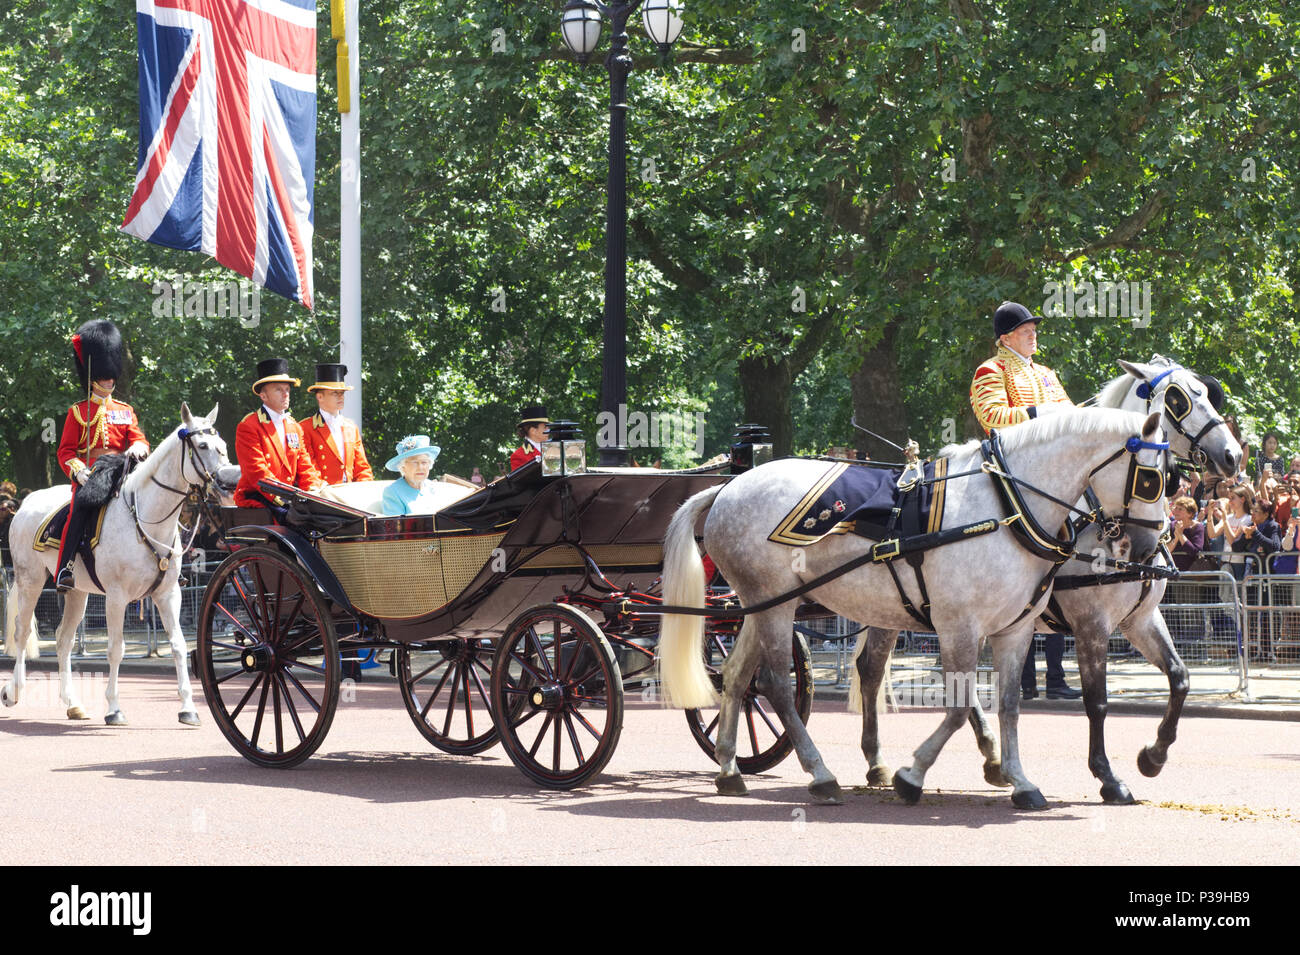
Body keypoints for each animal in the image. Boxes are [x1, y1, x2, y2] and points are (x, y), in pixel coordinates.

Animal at [3, 402, 231, 722]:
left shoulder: (168, 594)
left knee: (63, 639)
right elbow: (115, 649)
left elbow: (177, 645)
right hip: (30, 581)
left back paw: (72, 703)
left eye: (223, 446)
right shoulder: (116, 597)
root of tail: (26, 504)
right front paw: (113, 708)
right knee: (22, 632)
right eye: (202, 445)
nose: (227, 484)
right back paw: (14, 691)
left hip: (77, 591)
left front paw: (187, 708)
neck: (147, 519)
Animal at [660, 407, 1170, 810]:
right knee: (775, 686)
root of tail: (728, 488)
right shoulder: (971, 625)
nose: (1146, 550)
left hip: (764, 604)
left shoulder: (1015, 629)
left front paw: (1021, 781)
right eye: (1151, 479)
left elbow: (1008, 704)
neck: (1009, 509)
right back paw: (821, 775)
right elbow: (964, 704)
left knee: (739, 676)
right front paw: (914, 776)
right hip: (775, 606)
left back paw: (730, 769)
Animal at [852, 358, 1237, 805]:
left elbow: (1179, 678)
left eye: (1206, 392)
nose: (1232, 455)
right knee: (872, 669)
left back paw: (991, 758)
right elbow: (1097, 701)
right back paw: (878, 760)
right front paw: (1108, 776)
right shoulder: (1091, 623)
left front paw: (1153, 756)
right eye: (1178, 398)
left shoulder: (1139, 620)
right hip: (894, 609)